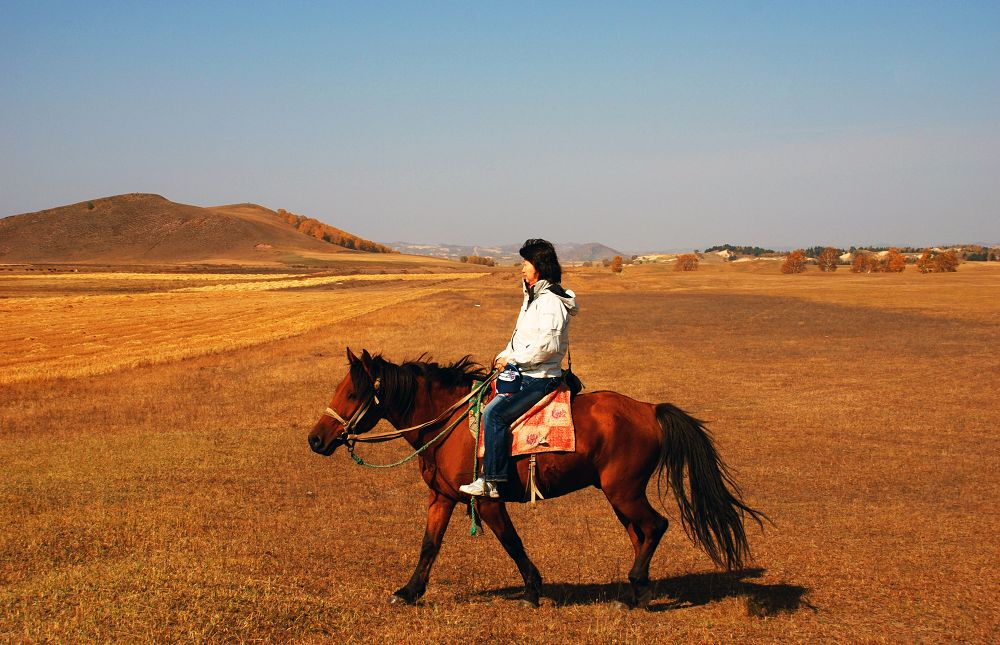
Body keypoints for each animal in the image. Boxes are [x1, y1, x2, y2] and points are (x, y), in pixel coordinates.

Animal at [308, 350, 760, 608]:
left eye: (353, 394)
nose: (316, 439)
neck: (450, 424)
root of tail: (649, 409)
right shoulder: (442, 498)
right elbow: (428, 546)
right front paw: (408, 592)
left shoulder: (487, 501)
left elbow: (512, 544)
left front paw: (532, 590)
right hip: (619, 495)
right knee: (641, 533)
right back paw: (637, 593)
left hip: (624, 492)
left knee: (656, 526)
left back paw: (634, 589)